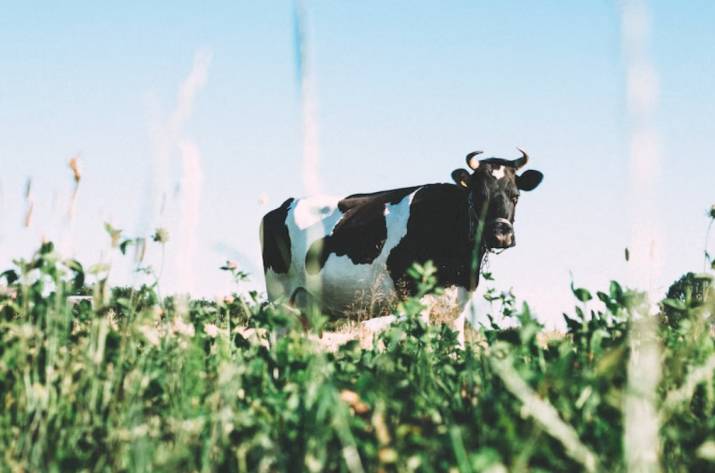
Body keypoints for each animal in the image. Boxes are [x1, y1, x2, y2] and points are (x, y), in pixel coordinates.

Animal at [260, 149, 543, 344]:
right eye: (479, 195)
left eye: (515, 195)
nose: (500, 235)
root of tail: (282, 206)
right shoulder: (416, 298)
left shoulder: (458, 304)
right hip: (280, 297)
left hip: (306, 308)